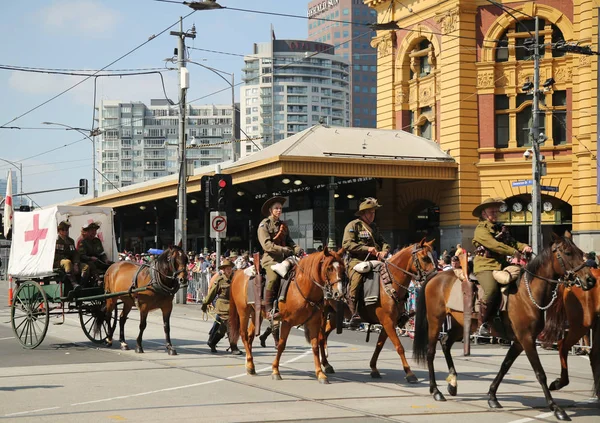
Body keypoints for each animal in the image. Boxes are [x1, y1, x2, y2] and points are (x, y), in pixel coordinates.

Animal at [227, 247, 344, 386]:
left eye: (342, 268)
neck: (303, 287)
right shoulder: (287, 322)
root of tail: (238, 273)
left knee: (250, 336)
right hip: (243, 312)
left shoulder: (314, 322)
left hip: (256, 313)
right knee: (244, 335)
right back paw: (250, 364)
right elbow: (281, 345)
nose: (339, 293)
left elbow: (315, 346)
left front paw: (320, 374)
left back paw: (249, 364)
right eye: (329, 268)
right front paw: (275, 371)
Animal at [318, 240, 436, 382]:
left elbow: (379, 346)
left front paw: (373, 368)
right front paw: (409, 373)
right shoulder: (387, 322)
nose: (435, 276)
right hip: (322, 313)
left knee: (324, 335)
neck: (388, 284)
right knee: (320, 336)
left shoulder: (389, 323)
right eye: (424, 258)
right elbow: (399, 347)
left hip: (336, 316)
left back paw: (326, 364)